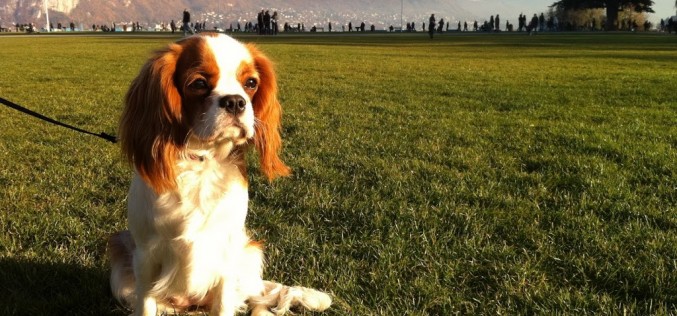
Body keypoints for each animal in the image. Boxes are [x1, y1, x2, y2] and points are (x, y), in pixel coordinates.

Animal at [107, 33, 332, 314]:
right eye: (199, 83)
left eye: (251, 83)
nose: (235, 101)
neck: (202, 161)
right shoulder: (145, 257)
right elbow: (146, 305)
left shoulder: (227, 254)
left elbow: (225, 303)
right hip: (121, 272)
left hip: (249, 255)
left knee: (257, 303)